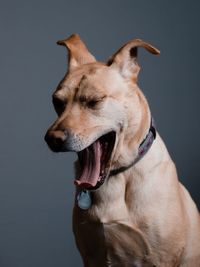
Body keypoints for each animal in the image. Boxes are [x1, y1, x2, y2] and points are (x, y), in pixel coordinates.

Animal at [45, 34, 200, 266]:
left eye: (94, 101)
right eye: (57, 101)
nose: (52, 140)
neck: (117, 178)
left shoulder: (162, 258)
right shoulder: (91, 256)